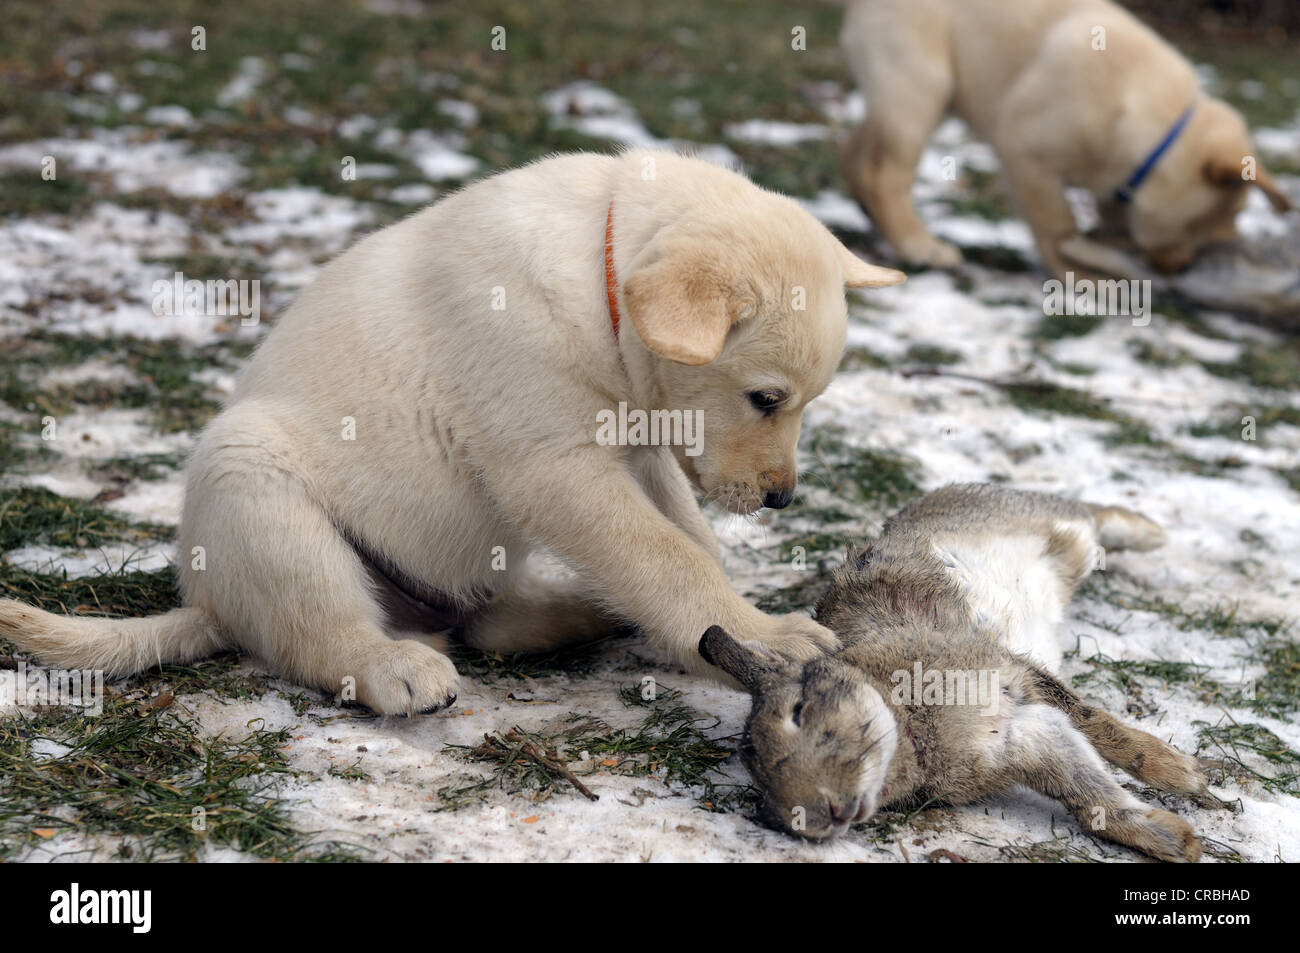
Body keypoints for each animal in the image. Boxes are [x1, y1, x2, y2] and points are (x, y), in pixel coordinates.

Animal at [0, 148, 904, 712]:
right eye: (765, 398)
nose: (783, 499)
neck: (598, 274)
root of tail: (211, 602)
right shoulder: (557, 468)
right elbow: (667, 556)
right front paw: (762, 635)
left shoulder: (640, 450)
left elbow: (688, 540)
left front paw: (724, 631)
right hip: (254, 481)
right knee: (319, 633)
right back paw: (391, 666)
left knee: (486, 624)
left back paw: (588, 614)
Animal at [837, 0, 1294, 278]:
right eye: (1215, 221)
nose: (1181, 270)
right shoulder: (1026, 151)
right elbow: (1057, 223)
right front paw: (1081, 273)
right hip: (921, 85)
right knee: (885, 172)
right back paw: (920, 246)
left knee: (858, 150)